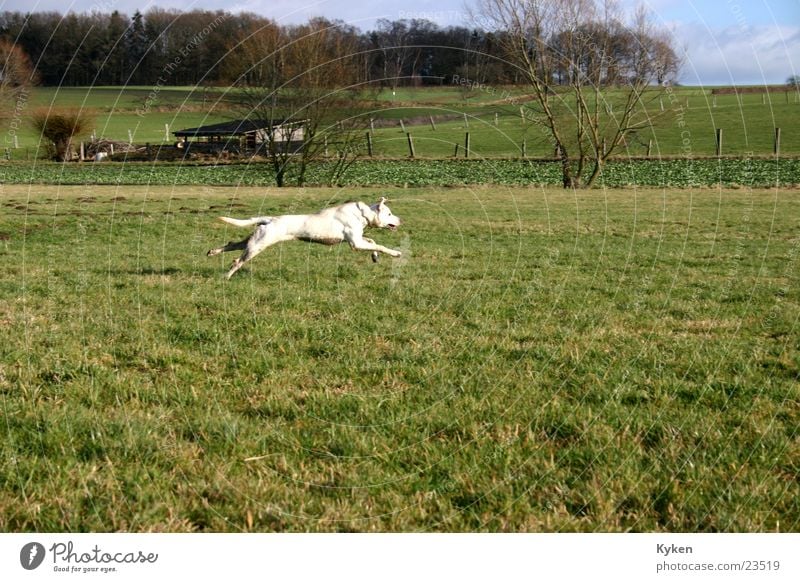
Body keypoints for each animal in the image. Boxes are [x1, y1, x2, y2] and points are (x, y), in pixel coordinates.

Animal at [208, 197, 404, 280]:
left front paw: (375, 257)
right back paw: (226, 276)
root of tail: (270, 219)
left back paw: (212, 252)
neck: (363, 215)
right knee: (237, 261)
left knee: (232, 244)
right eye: (389, 213)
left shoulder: (357, 240)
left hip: (254, 240)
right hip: (259, 245)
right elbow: (380, 245)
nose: (400, 220)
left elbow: (373, 242)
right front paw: (395, 253)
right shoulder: (355, 243)